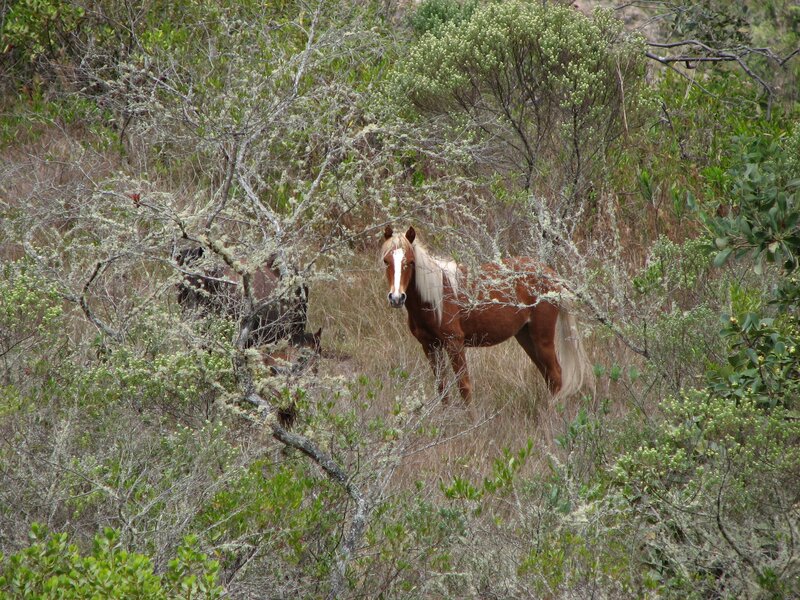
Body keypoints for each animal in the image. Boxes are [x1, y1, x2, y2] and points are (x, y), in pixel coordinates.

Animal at [380, 225, 592, 403]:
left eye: (410, 262)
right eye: (386, 261)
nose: (396, 298)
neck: (435, 297)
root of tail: (550, 274)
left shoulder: (455, 344)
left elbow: (464, 387)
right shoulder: (429, 346)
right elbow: (442, 389)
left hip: (542, 337)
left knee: (556, 376)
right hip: (526, 336)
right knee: (549, 376)